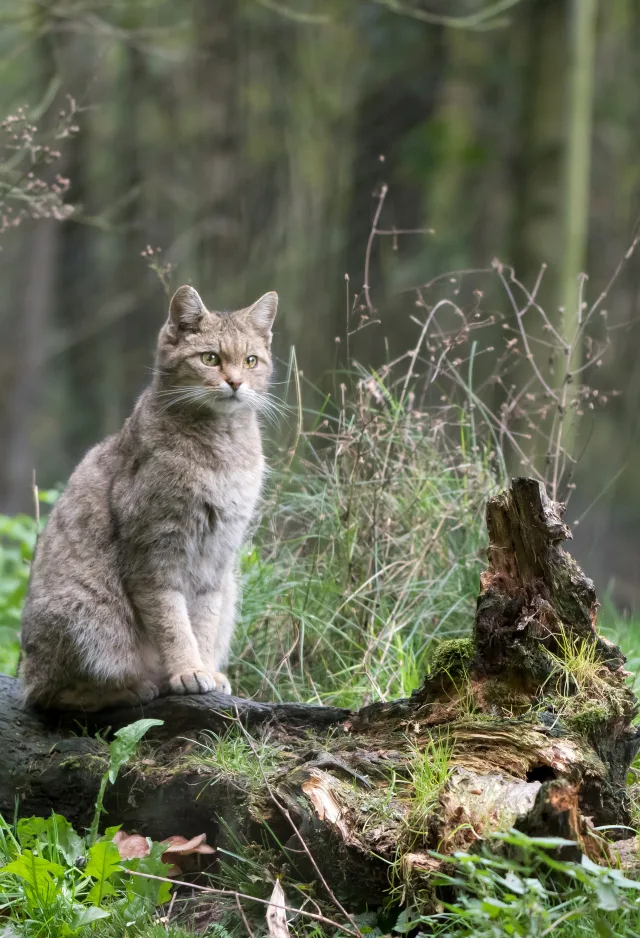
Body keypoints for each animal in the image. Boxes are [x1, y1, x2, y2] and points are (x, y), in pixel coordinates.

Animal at [19, 286, 276, 708]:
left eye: (251, 361)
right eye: (210, 358)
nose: (236, 382)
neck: (222, 445)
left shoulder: (216, 562)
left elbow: (203, 623)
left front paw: (205, 668)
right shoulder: (154, 556)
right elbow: (173, 622)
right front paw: (188, 670)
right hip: (87, 618)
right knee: (54, 693)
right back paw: (134, 687)